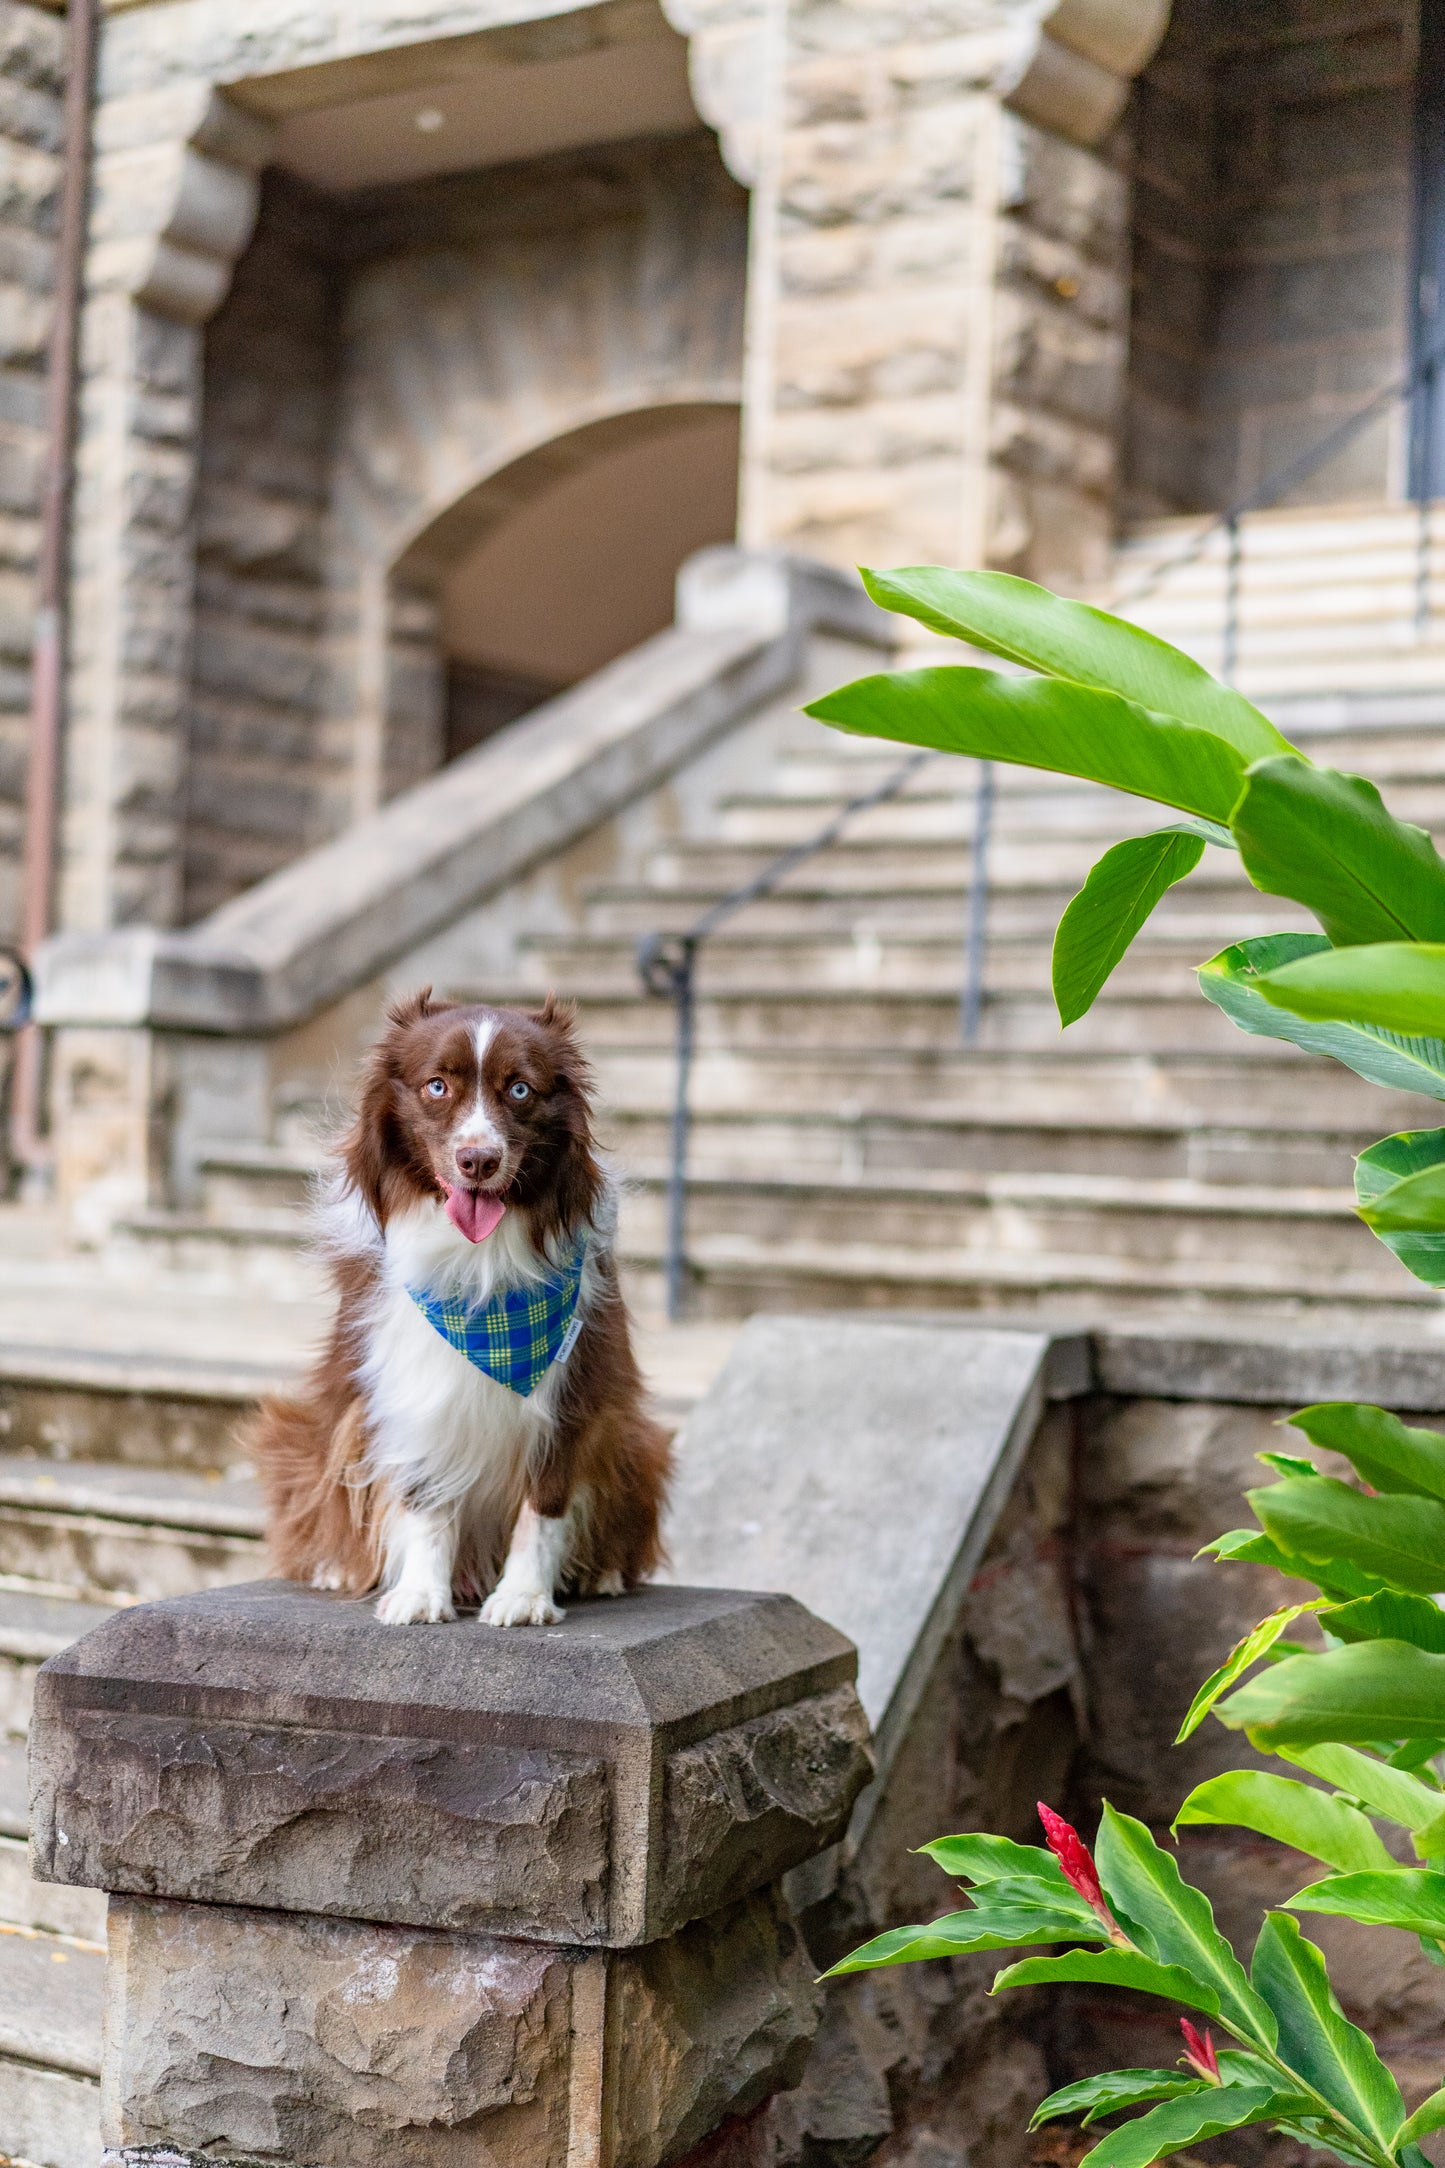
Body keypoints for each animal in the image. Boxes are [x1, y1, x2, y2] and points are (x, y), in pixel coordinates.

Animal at [250, 992, 671, 1621]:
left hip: (634, 1441)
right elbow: (426, 1494)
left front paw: (524, 1595)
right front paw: (421, 1592)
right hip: (312, 1429)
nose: (478, 1160)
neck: (481, 1266)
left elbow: (544, 1506)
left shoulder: (574, 1393)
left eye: (519, 1089)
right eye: (437, 1086)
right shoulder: (413, 1384)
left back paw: (604, 1574)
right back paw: (336, 1565)